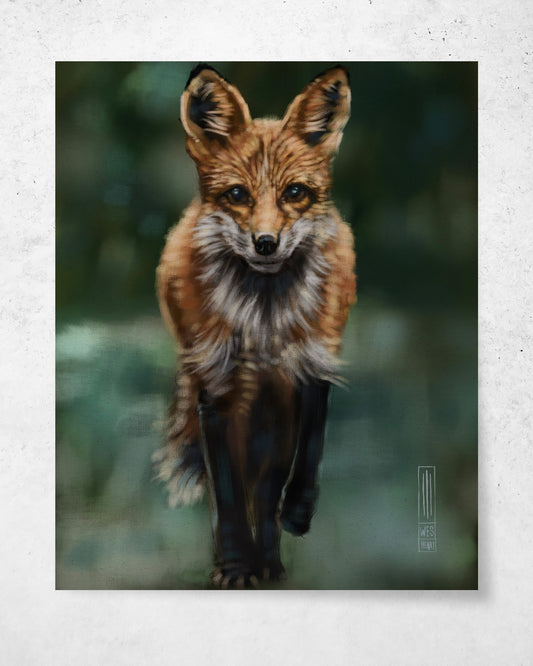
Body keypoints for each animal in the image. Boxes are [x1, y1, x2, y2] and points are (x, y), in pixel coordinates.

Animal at [154, 64, 356, 588]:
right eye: (237, 195)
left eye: (295, 193)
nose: (266, 242)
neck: (264, 324)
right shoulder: (216, 389)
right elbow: (227, 490)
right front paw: (235, 563)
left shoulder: (303, 375)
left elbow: (291, 466)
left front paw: (287, 525)